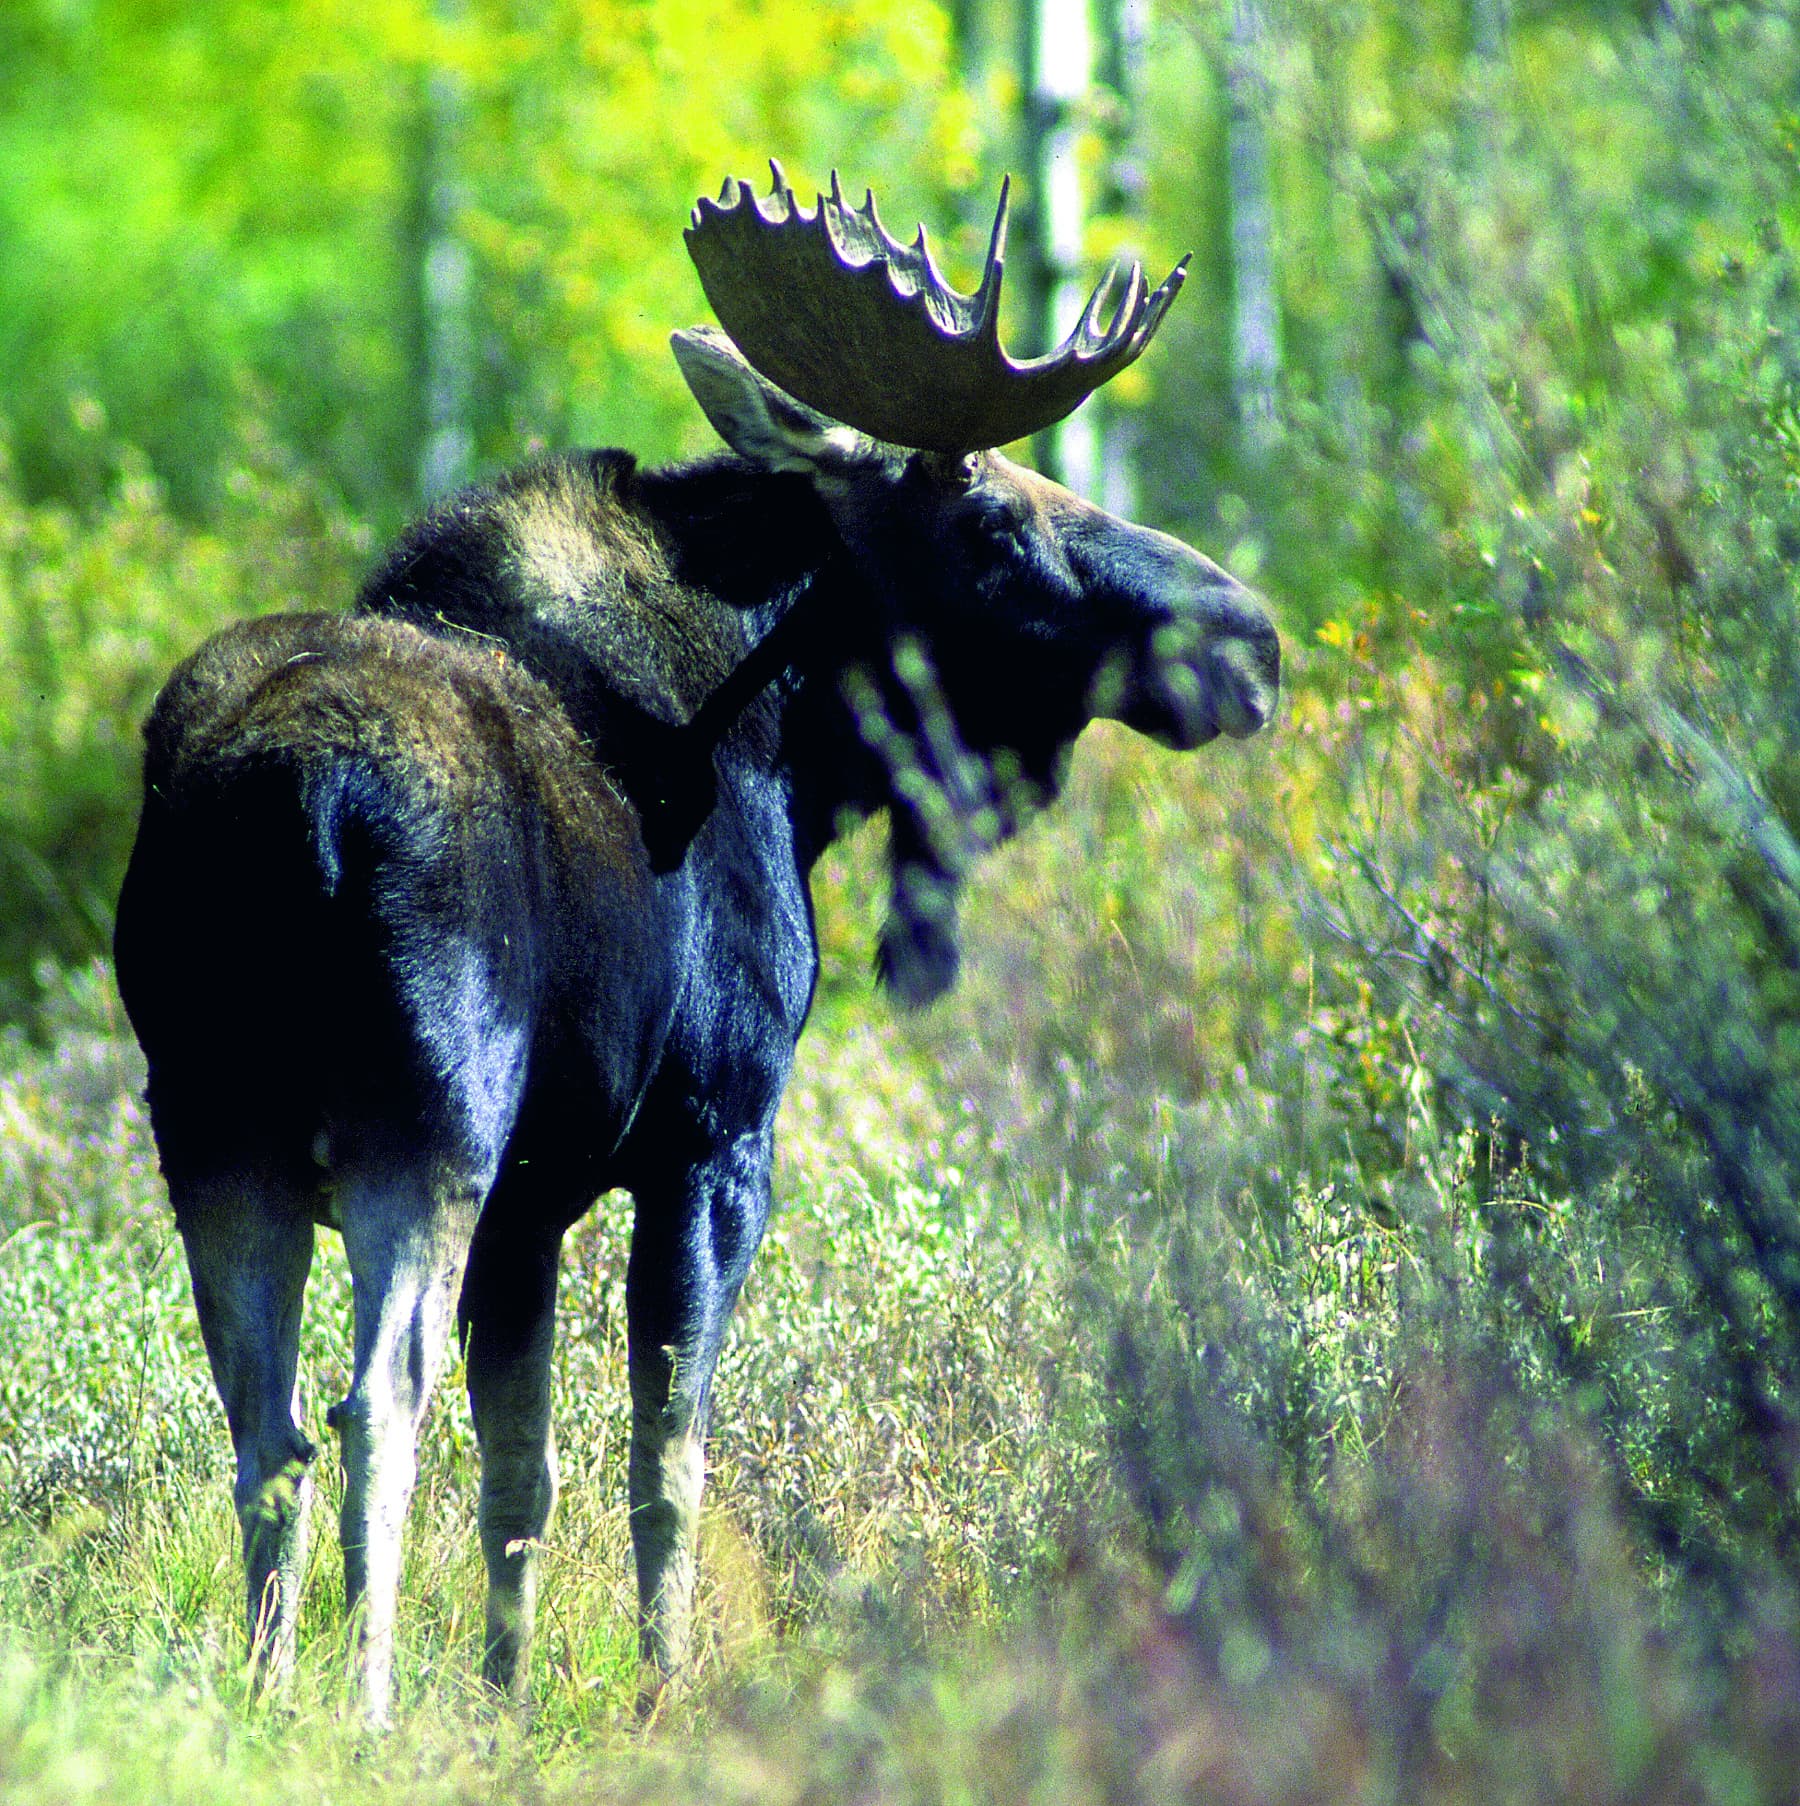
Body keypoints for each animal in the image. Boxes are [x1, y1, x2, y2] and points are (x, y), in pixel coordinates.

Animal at [112, 166, 1279, 1724]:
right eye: (996, 523)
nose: (1250, 637)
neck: (802, 757)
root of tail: (290, 811)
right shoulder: (715, 1138)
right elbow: (666, 1455)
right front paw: (668, 1692)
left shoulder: (540, 1191)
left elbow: (527, 1471)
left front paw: (509, 1701)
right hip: (418, 1129)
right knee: (375, 1405)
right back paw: (364, 1707)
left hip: (214, 1133)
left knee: (267, 1425)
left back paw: (263, 1696)